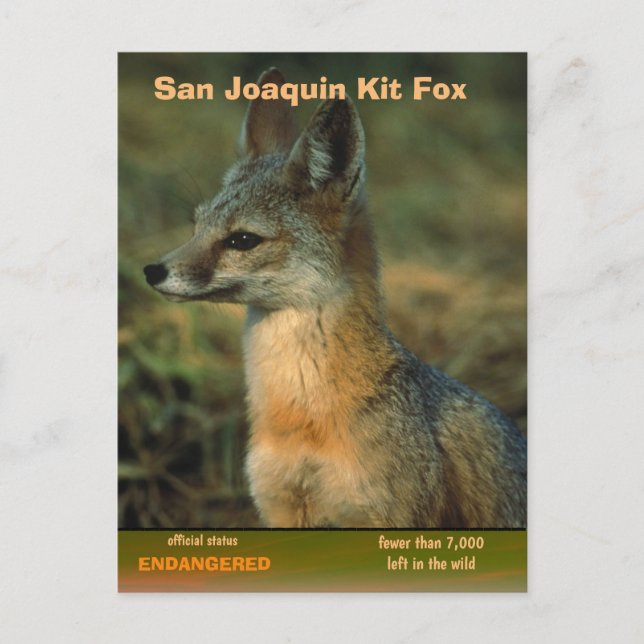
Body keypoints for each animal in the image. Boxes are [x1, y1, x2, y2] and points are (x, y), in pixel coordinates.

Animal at [143, 68, 527, 529]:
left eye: (242, 240)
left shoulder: (389, 517)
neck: (302, 418)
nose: (152, 271)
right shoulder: (282, 507)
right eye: (196, 226)